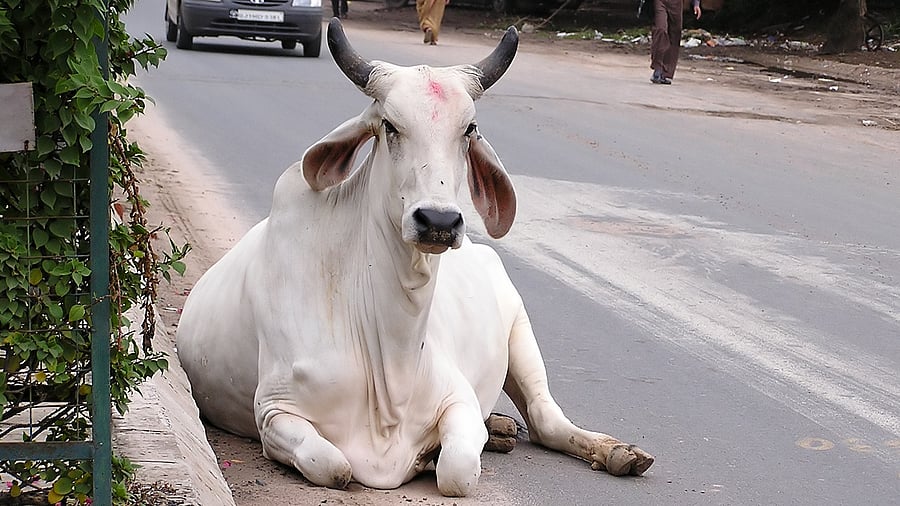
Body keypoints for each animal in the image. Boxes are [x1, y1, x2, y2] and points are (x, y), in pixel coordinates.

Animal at [176, 18, 654, 497]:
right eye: (389, 125)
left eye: (469, 129)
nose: (438, 219)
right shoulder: (274, 412)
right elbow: (334, 465)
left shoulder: (459, 399)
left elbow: (458, 469)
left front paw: (433, 453)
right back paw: (503, 429)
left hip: (520, 330)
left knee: (545, 420)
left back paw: (615, 452)